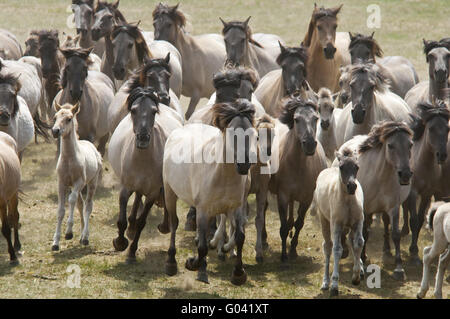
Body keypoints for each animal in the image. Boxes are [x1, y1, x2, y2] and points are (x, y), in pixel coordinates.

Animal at [50, 101, 102, 251]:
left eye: (69, 119)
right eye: (55, 117)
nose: (55, 131)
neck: (69, 159)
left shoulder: (79, 182)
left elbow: (71, 200)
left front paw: (68, 232)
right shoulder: (62, 183)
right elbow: (61, 210)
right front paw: (55, 242)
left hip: (91, 183)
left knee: (88, 205)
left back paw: (85, 237)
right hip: (75, 186)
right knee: (81, 204)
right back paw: (81, 235)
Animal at [338, 122, 414, 280]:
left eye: (410, 145)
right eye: (390, 145)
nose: (405, 175)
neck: (381, 177)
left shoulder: (393, 207)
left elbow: (396, 234)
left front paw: (399, 268)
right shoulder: (366, 208)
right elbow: (365, 233)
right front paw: (363, 259)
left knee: (385, 222)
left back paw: (386, 250)